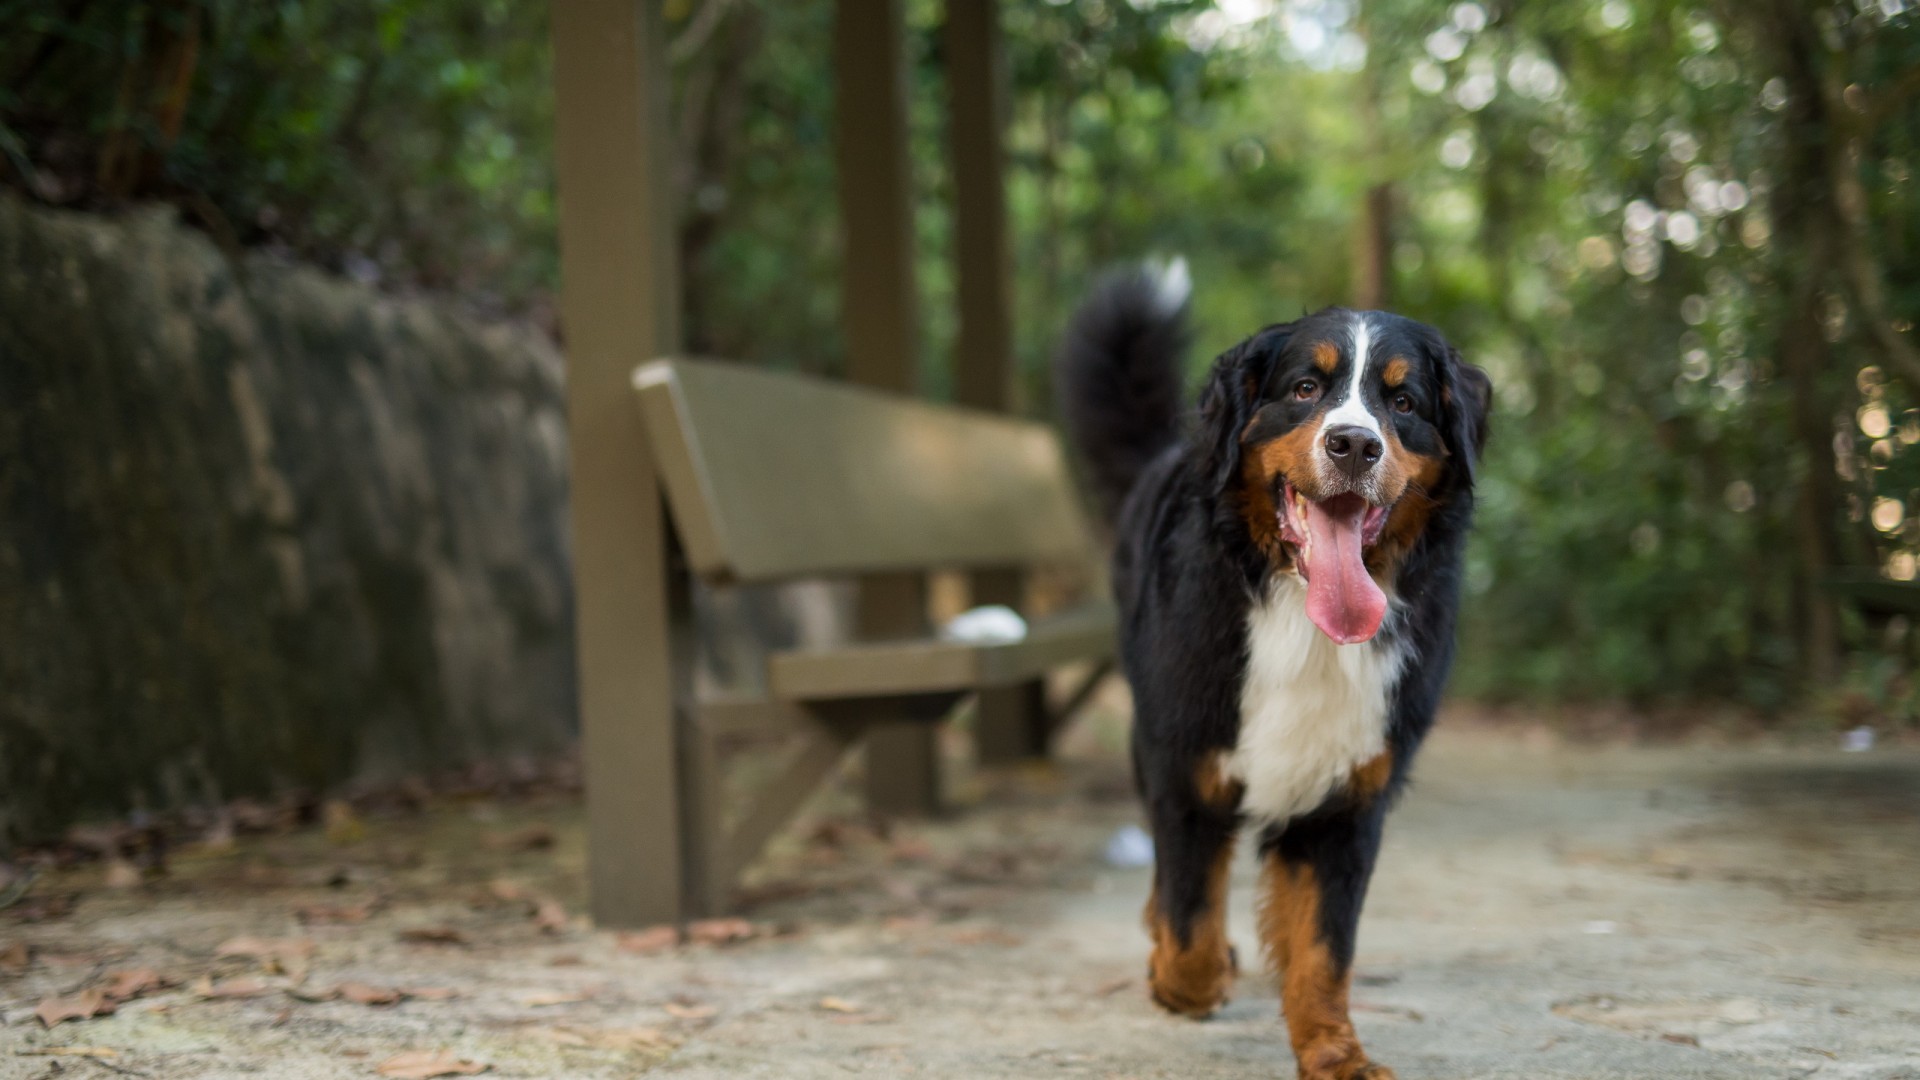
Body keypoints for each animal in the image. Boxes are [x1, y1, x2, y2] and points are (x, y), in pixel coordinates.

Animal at [1059, 263, 1489, 1076]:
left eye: (1404, 402)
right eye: (1305, 388)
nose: (1354, 444)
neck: (1299, 611)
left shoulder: (1349, 795)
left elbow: (1325, 946)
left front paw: (1334, 1052)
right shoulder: (1185, 765)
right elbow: (1191, 924)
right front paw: (1183, 979)